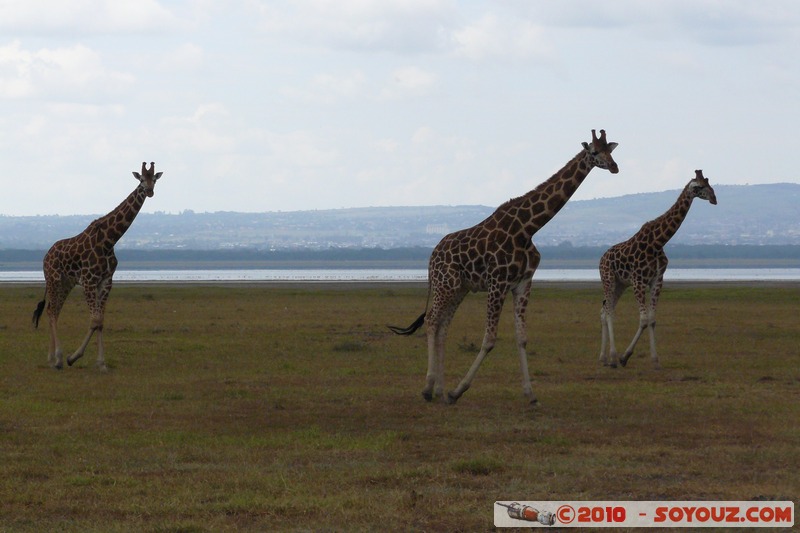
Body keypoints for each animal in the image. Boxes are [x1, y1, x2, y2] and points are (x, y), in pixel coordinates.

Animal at [32, 162, 164, 371]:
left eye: (155, 180)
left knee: (54, 310)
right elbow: (94, 320)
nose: (150, 191)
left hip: (66, 283)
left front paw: (101, 363)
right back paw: (58, 358)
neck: (109, 240)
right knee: (52, 312)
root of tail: (46, 255)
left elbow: (100, 321)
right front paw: (72, 357)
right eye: (142, 179)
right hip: (53, 279)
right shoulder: (89, 281)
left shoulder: (106, 281)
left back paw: (51, 358)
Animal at [389, 130, 619, 404]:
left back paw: (440, 390)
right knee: (432, 320)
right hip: (447, 284)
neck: (528, 228)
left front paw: (530, 394)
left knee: (443, 326)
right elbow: (489, 339)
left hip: (460, 288)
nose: (615, 167)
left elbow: (522, 339)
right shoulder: (497, 282)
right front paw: (459, 390)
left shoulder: (522, 283)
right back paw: (428, 388)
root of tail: (431, 256)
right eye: (594, 152)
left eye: (610, 150)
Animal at [598, 169, 717, 370]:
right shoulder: (638, 281)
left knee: (605, 310)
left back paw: (604, 358)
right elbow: (644, 319)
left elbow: (652, 320)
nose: (714, 199)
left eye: (710, 183)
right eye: (700, 186)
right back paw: (613, 357)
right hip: (608, 279)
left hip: (620, 284)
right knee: (608, 313)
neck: (658, 242)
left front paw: (655, 361)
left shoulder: (657, 279)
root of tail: (601, 258)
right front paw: (624, 357)